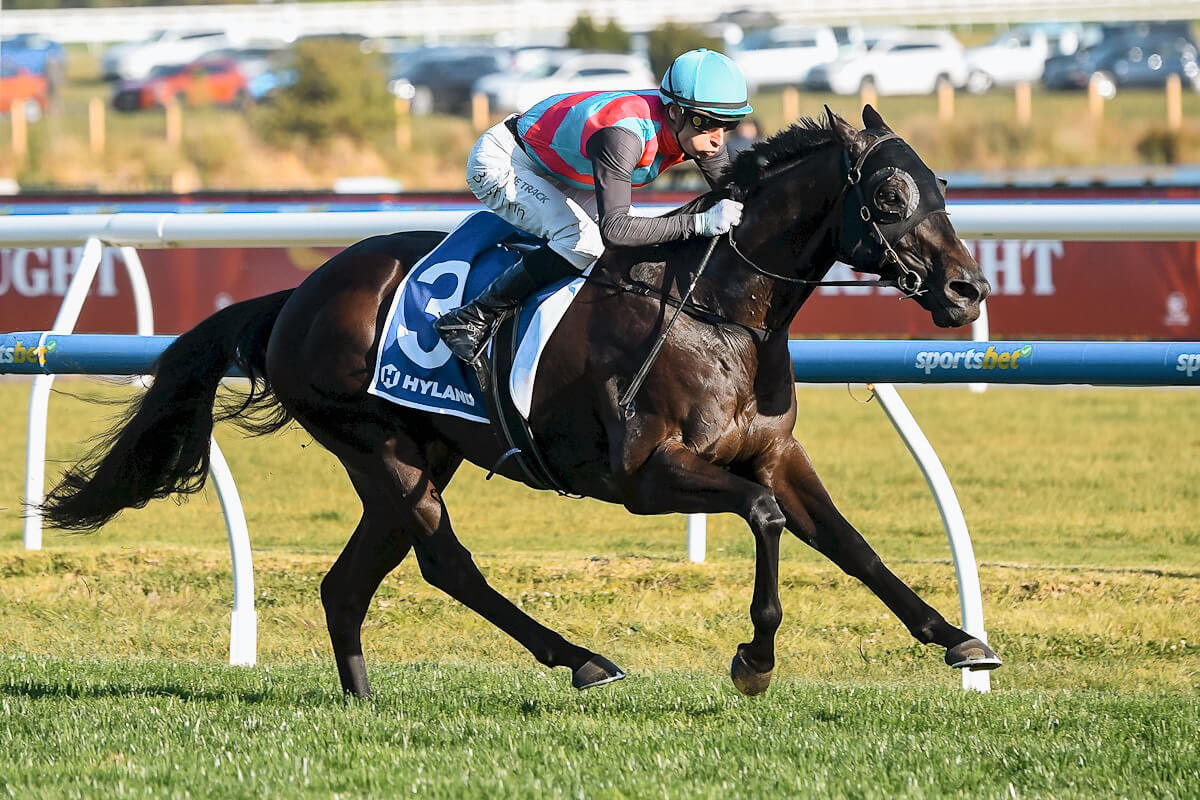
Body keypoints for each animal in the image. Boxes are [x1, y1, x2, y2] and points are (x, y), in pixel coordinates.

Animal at [39, 103, 993, 695]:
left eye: (945, 187)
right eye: (892, 194)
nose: (968, 288)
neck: (722, 310)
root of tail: (297, 296)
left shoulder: (773, 451)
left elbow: (849, 542)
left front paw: (957, 639)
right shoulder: (644, 475)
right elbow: (763, 519)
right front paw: (754, 658)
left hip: (420, 454)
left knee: (349, 584)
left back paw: (362, 698)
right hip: (378, 446)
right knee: (444, 563)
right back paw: (579, 659)